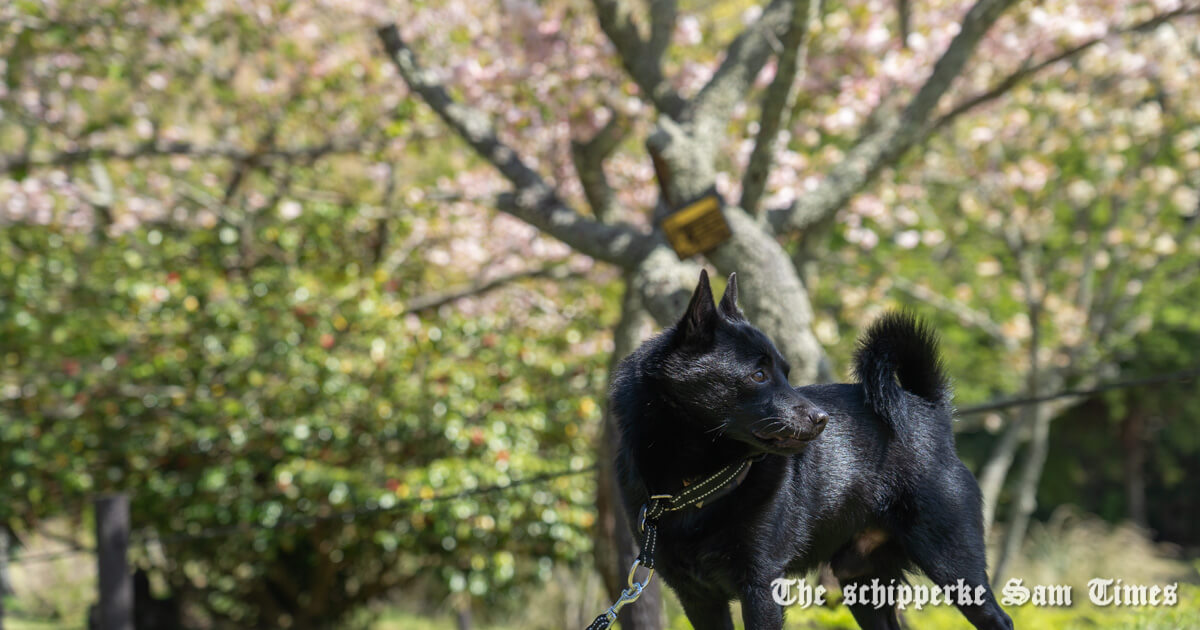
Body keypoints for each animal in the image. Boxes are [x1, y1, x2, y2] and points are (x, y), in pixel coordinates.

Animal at [609, 271, 1012, 628]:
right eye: (759, 375)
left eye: (786, 373)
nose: (821, 419)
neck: (693, 485)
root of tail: (927, 408)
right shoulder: (697, 597)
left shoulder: (761, 587)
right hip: (861, 582)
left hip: (953, 566)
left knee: (999, 619)